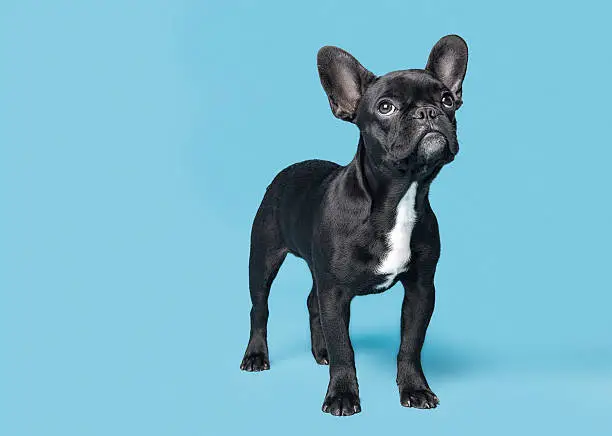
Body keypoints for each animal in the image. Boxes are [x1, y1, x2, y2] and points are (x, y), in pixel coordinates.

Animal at [239, 34, 468, 416]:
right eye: (386, 107)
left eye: (447, 100)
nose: (428, 112)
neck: (399, 198)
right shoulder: (335, 292)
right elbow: (344, 347)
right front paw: (342, 396)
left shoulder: (421, 289)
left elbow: (411, 344)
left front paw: (415, 389)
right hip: (264, 258)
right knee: (261, 307)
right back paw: (257, 355)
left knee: (311, 302)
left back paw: (320, 352)